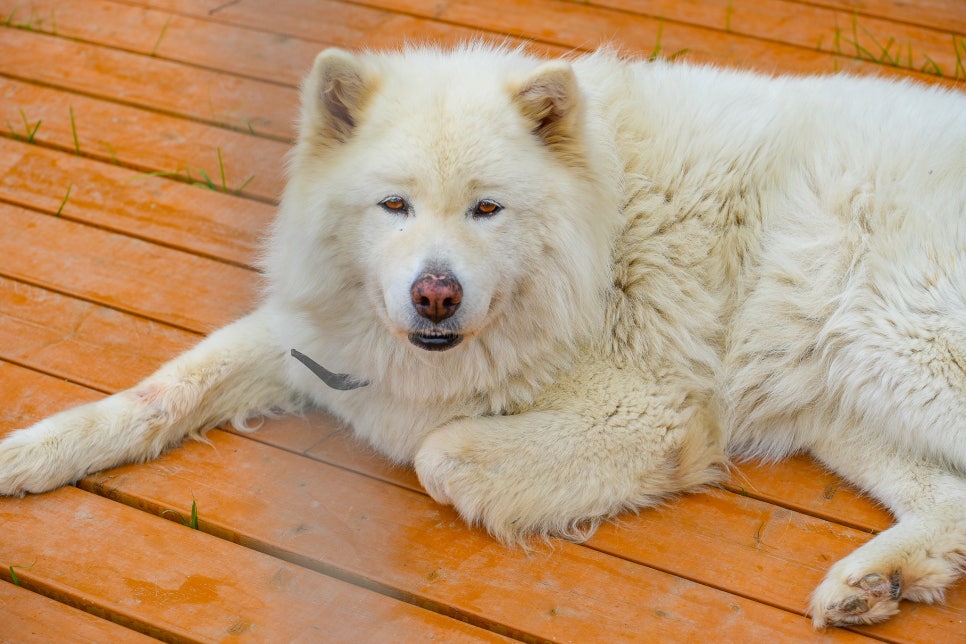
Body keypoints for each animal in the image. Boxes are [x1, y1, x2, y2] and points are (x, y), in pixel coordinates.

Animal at [1, 42, 966, 628]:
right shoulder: (312, 337)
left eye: (486, 210)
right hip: (840, 389)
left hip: (891, 340)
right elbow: (161, 390)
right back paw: (881, 580)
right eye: (393, 205)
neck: (595, 230)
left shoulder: (647, 407)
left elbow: (442, 453)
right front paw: (38, 450)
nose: (435, 295)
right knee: (947, 498)